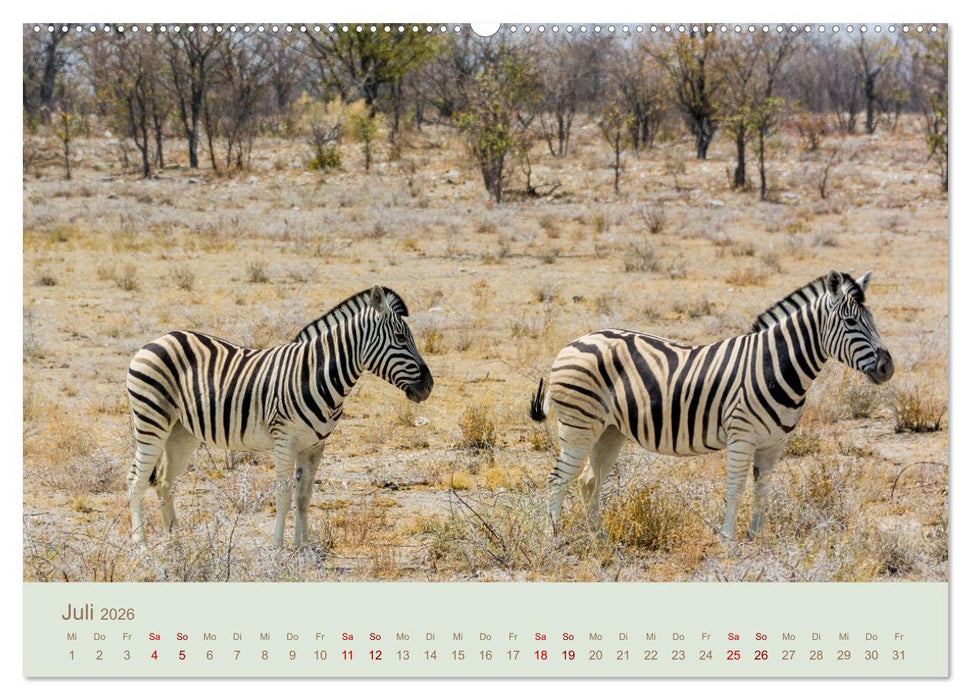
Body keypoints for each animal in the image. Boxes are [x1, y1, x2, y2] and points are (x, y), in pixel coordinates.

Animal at [125, 285, 433, 548]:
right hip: (152, 419)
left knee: (164, 481)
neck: (316, 376)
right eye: (401, 338)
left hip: (182, 432)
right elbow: (283, 495)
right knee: (136, 480)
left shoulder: (315, 445)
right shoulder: (285, 441)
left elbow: (304, 496)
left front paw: (303, 547)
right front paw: (278, 548)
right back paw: (141, 544)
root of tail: (159, 338)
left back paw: (177, 540)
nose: (428, 385)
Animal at [530, 269, 894, 541]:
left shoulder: (773, 443)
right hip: (579, 425)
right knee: (558, 478)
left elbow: (762, 491)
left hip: (609, 431)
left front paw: (756, 539)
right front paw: (728, 540)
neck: (773, 364)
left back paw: (600, 538)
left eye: (872, 319)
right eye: (850, 322)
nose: (887, 368)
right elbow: (735, 488)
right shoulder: (742, 436)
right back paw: (553, 538)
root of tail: (573, 342)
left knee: (588, 481)